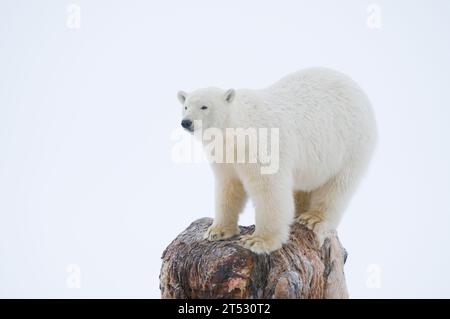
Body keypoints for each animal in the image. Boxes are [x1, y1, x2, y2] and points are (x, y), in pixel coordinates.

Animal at [178, 68, 378, 255]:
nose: (186, 122)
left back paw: (313, 218)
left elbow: (269, 190)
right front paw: (217, 231)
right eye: (186, 106)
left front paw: (258, 241)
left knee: (337, 186)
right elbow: (228, 187)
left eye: (204, 106)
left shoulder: (261, 146)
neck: (237, 131)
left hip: (350, 145)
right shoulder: (225, 156)